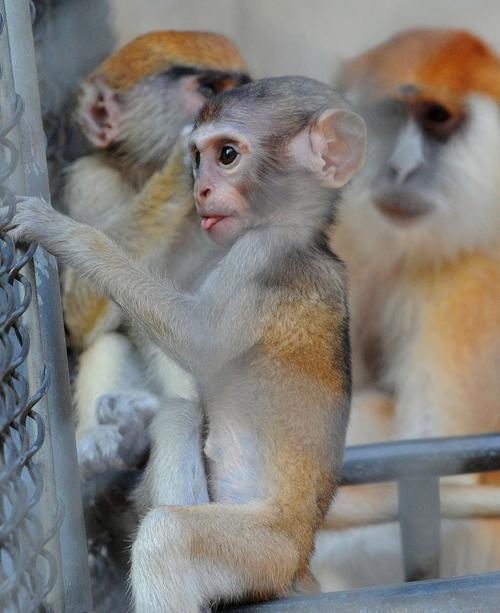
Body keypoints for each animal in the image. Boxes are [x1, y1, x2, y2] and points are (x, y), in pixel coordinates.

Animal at [9, 76, 366, 612]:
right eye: (197, 158)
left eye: (227, 155)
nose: (201, 189)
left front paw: (59, 229)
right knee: (178, 418)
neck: (304, 235)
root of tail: (301, 555)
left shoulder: (264, 258)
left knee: (170, 536)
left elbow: (198, 338)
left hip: (263, 552)